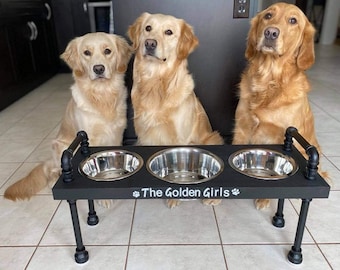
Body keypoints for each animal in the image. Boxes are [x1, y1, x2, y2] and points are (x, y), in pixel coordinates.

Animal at [4, 32, 131, 208]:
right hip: (59, 145)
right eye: (86, 53)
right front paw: (104, 197)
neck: (102, 95)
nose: (98, 68)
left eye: (107, 51)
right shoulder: (91, 139)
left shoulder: (117, 134)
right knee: (51, 172)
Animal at [127, 13, 223, 209]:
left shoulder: (180, 138)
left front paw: (174, 197)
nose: (149, 43)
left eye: (169, 32)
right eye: (148, 28)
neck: (155, 83)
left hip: (213, 138)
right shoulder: (144, 134)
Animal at [232, 1, 330, 209]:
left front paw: (264, 199)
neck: (268, 81)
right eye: (268, 16)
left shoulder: (279, 136)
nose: (270, 33)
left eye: (293, 20)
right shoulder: (241, 127)